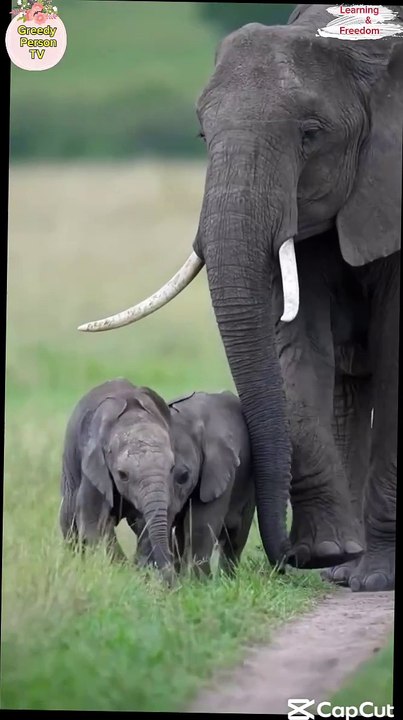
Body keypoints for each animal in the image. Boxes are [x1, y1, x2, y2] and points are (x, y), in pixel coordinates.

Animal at [59, 378, 179, 582]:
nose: (172, 581)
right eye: (122, 475)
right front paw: (123, 574)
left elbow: (149, 522)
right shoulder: (94, 466)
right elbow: (95, 522)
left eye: (172, 468)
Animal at [166, 390, 255, 577]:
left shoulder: (219, 470)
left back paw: (228, 579)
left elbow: (201, 523)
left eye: (183, 476)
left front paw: (199, 583)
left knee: (236, 537)